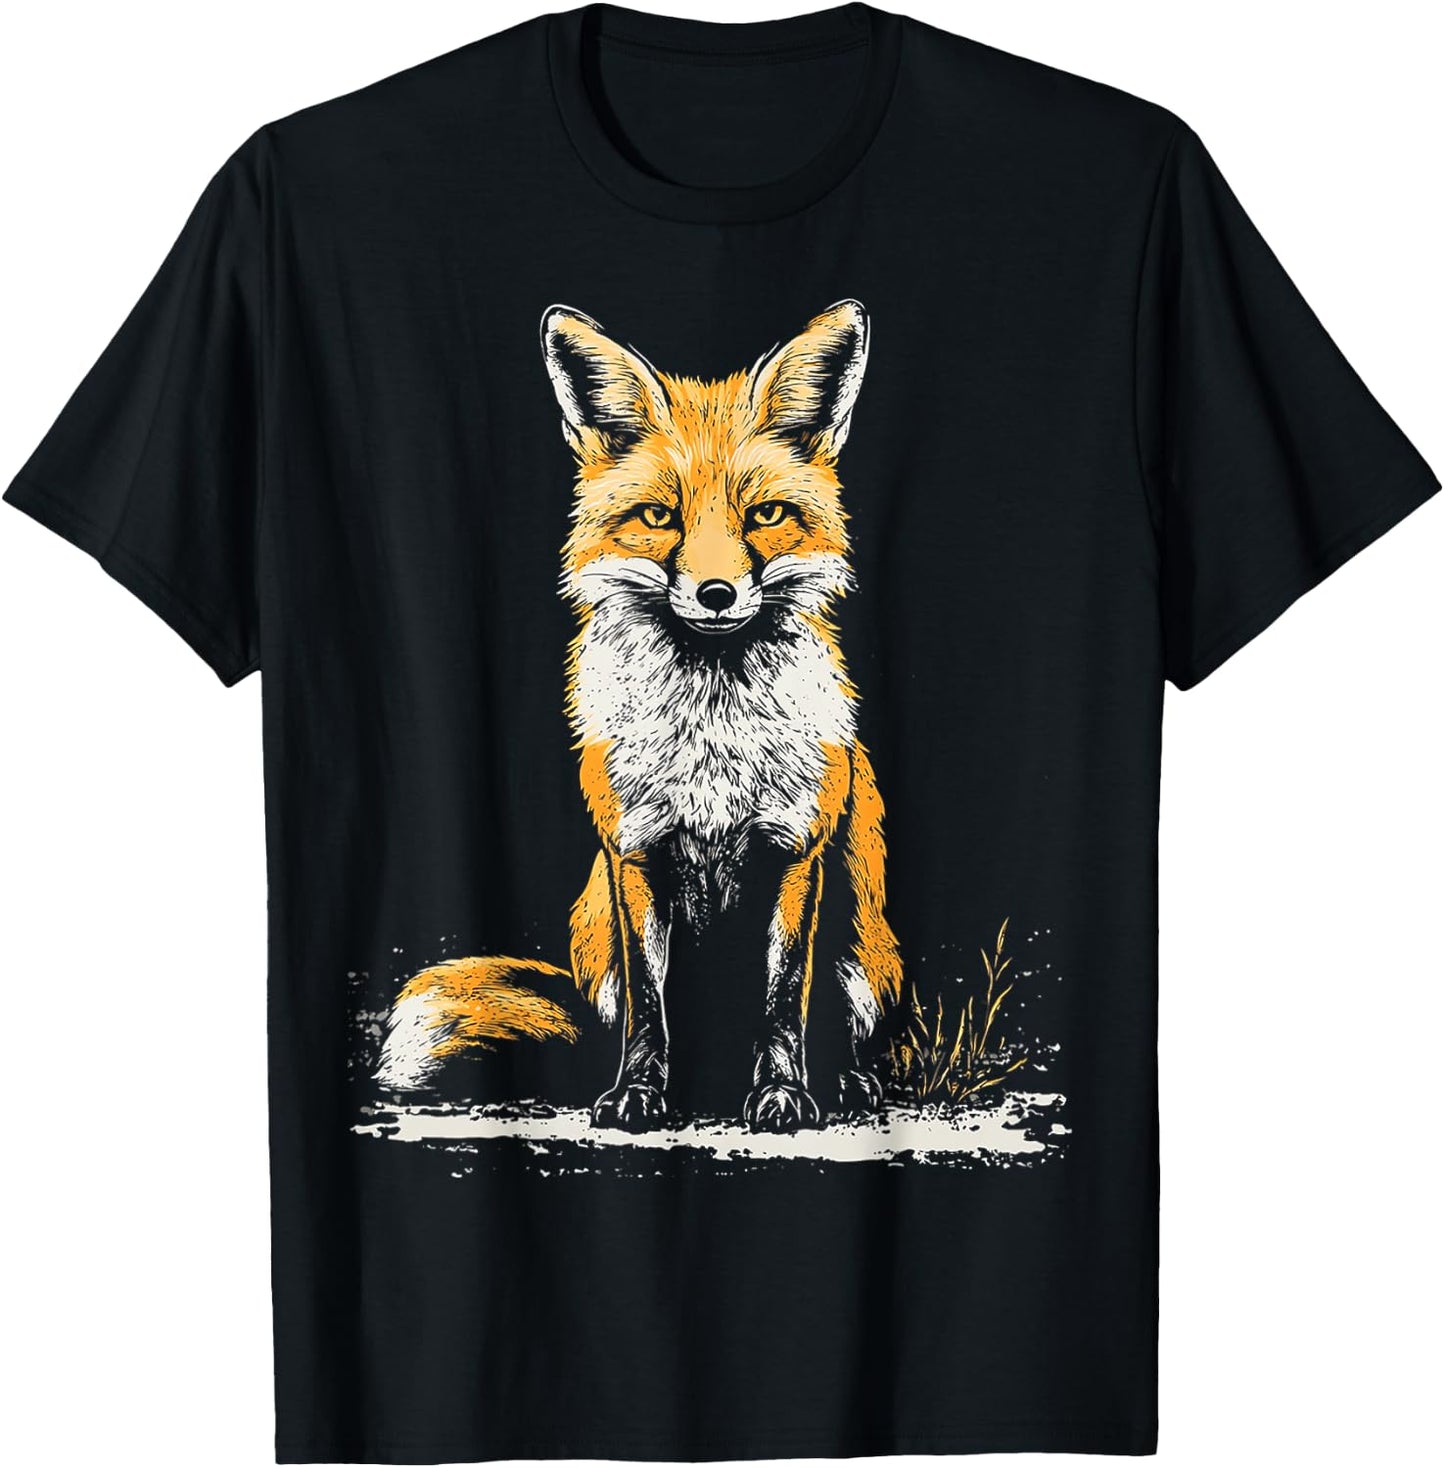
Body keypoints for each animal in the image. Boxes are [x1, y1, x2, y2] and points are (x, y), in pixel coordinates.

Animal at [375, 300, 902, 1133]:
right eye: (659, 516)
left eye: (766, 516)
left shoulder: (794, 854)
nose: (717, 594)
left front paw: (784, 1092)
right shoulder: (636, 854)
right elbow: (650, 1005)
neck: (712, 749)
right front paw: (638, 1093)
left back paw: (849, 1081)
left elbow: (783, 996)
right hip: (593, 925)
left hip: (865, 939)